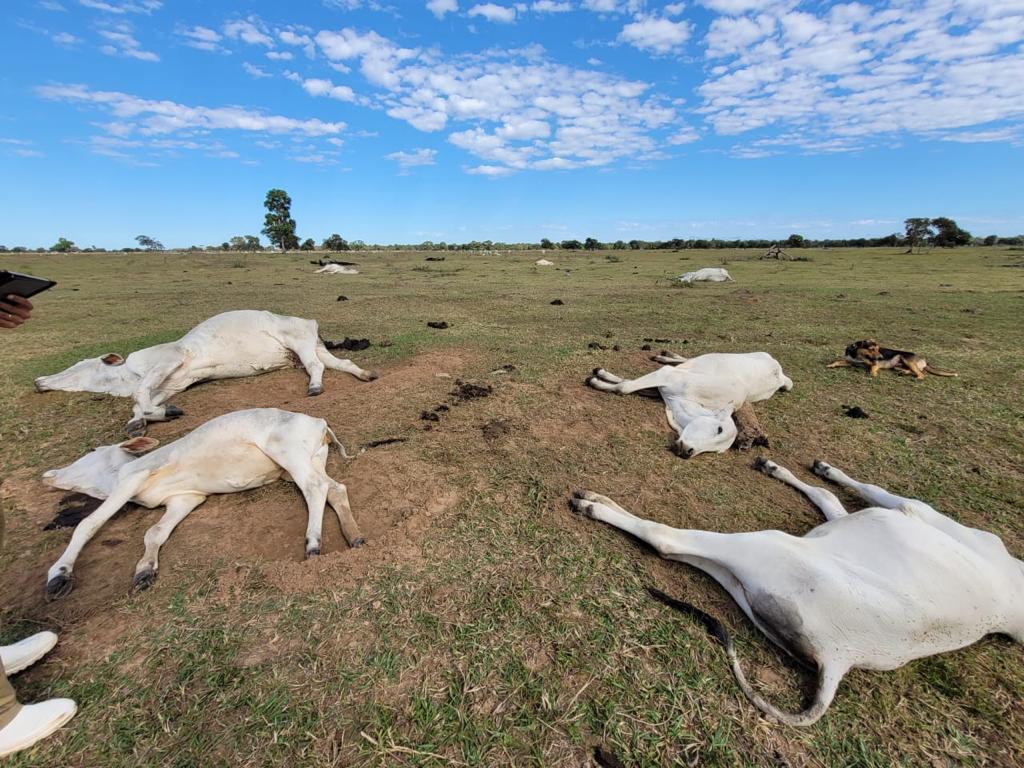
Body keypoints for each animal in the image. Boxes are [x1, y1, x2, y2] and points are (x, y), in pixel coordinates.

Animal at [36, 309, 382, 436]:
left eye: (81, 365)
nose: (39, 381)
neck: (128, 373)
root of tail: (309, 322)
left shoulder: (172, 358)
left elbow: (139, 394)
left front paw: (154, 415)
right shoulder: (173, 383)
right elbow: (143, 402)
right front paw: (142, 420)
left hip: (300, 343)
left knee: (317, 367)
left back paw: (314, 387)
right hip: (309, 347)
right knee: (340, 364)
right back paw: (365, 374)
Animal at [41, 409, 366, 602]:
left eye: (92, 450)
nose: (49, 474)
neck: (113, 477)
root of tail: (319, 423)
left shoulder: (133, 478)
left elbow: (88, 524)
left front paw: (59, 574)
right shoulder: (185, 498)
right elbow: (155, 533)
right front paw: (145, 570)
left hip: (289, 454)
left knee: (316, 488)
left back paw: (313, 543)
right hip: (310, 460)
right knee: (335, 489)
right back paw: (354, 536)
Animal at [573, 456, 1024, 729]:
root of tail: (841, 658)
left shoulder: (912, 509)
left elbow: (864, 491)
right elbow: (831, 496)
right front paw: (785, 466)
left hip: (767, 546)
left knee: (666, 539)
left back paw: (594, 504)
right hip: (747, 582)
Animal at [585, 354, 790, 460]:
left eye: (715, 451)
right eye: (719, 429)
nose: (687, 451)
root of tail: (780, 374)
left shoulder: (661, 388)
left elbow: (625, 383)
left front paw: (600, 377)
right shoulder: (667, 376)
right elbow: (625, 386)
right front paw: (597, 377)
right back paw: (665, 355)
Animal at [823, 342, 958, 380]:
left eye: (878, 349)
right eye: (872, 349)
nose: (881, 357)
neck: (858, 355)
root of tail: (924, 359)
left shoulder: (874, 363)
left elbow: (872, 368)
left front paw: (873, 374)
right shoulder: (850, 361)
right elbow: (838, 361)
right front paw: (830, 365)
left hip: (905, 358)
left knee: (922, 373)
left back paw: (917, 378)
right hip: (899, 364)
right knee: (915, 371)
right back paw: (902, 372)